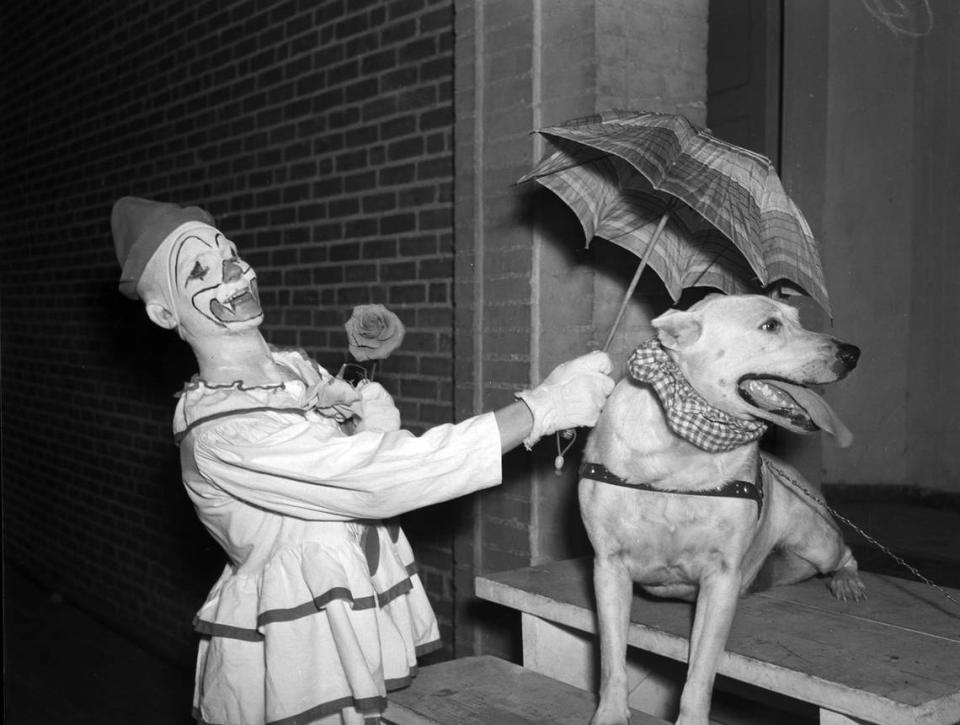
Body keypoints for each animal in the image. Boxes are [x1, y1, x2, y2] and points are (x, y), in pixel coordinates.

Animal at [580, 294, 868, 724]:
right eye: (770, 326)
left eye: (798, 319)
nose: (852, 354)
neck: (684, 449)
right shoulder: (610, 568)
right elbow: (612, 659)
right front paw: (611, 714)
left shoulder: (721, 577)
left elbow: (700, 671)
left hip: (816, 540)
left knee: (846, 552)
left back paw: (847, 582)